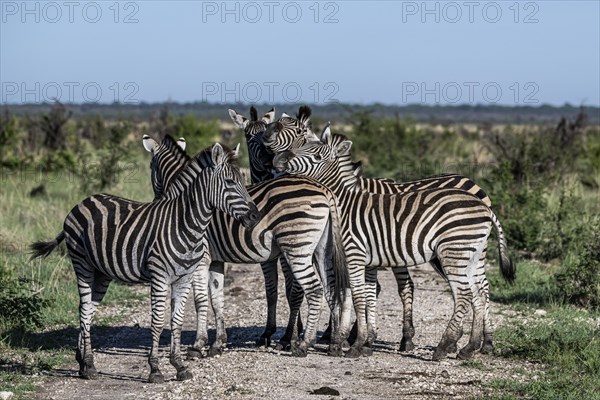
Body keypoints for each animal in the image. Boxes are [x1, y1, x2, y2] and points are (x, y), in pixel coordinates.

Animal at [28, 143, 258, 382]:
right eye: (230, 182)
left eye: (244, 181)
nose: (255, 216)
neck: (185, 224)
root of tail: (82, 201)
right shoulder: (159, 277)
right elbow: (157, 322)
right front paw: (155, 369)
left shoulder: (184, 277)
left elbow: (176, 321)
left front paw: (179, 366)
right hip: (82, 263)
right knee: (84, 310)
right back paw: (89, 366)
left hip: (102, 272)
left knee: (88, 310)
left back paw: (82, 363)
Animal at [144, 134, 350, 356]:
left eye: (150, 167)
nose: (155, 201)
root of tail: (324, 190)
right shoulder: (216, 260)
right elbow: (216, 299)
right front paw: (218, 343)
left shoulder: (201, 258)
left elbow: (200, 300)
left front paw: (198, 345)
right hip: (322, 250)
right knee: (330, 289)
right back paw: (334, 342)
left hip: (297, 247)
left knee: (314, 290)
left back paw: (304, 344)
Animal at [260, 109, 500, 354]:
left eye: (302, 137)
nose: (277, 161)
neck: (345, 200)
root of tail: (476, 190)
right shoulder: (369, 260)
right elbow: (364, 294)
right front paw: (363, 340)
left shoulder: (353, 255)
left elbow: (350, 293)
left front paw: (345, 339)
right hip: (471, 252)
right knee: (479, 289)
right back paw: (476, 344)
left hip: (453, 251)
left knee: (466, 291)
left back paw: (448, 344)